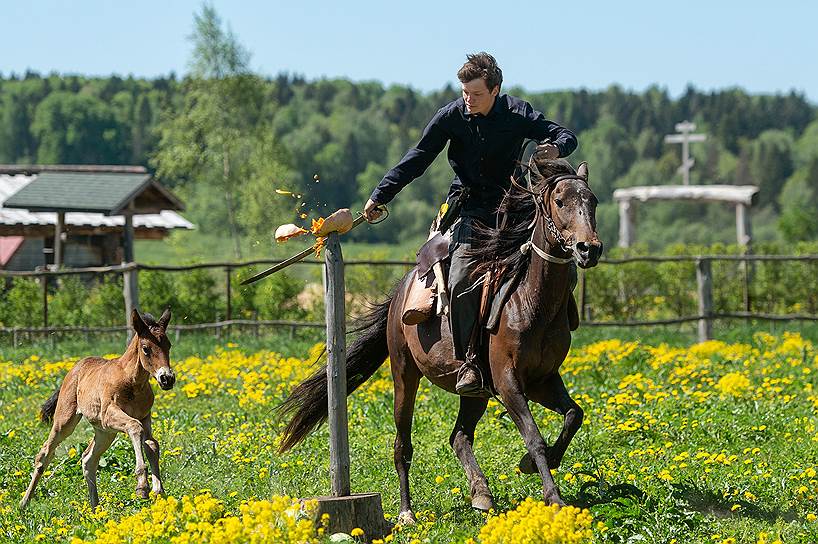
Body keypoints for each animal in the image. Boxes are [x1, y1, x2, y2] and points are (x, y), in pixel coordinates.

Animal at [19, 310, 175, 510]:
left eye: (168, 345)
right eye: (146, 348)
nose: (167, 379)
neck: (132, 382)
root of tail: (76, 367)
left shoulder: (145, 417)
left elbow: (151, 444)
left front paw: (158, 490)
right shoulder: (109, 415)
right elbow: (135, 427)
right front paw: (142, 486)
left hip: (105, 432)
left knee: (88, 459)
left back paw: (95, 511)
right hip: (66, 421)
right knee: (44, 454)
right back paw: (24, 502)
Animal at [274, 155, 600, 520]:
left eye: (593, 201)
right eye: (559, 201)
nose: (589, 249)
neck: (530, 300)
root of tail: (401, 292)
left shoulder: (543, 379)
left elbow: (574, 416)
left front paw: (532, 464)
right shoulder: (509, 382)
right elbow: (534, 436)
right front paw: (553, 497)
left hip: (476, 391)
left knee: (459, 436)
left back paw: (481, 493)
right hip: (405, 375)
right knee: (402, 445)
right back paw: (406, 512)